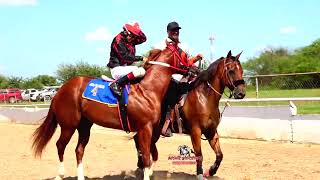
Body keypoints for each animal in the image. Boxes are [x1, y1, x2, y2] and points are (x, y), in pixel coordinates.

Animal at [31, 46, 201, 180]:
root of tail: (61, 89)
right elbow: (146, 156)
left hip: (84, 125)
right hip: (68, 125)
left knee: (79, 150)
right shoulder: (144, 128)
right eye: (183, 53)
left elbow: (152, 155)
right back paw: (60, 174)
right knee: (60, 145)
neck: (147, 89)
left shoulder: (152, 129)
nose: (197, 68)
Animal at [132, 50, 245, 179]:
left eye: (242, 71)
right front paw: (200, 174)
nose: (241, 93)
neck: (205, 98)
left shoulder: (211, 131)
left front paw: (210, 171)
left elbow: (219, 155)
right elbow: (199, 155)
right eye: (231, 70)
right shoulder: (195, 131)